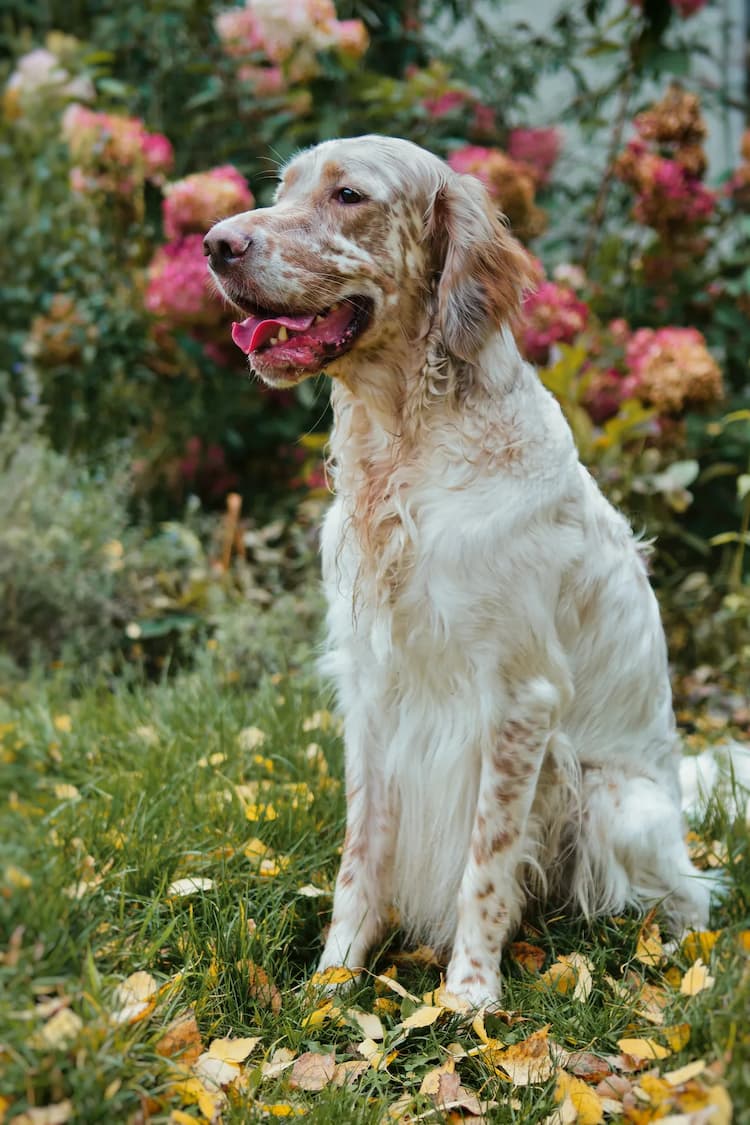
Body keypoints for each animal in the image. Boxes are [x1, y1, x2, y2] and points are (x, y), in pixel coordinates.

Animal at [203, 136, 710, 1008]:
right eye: (286, 188)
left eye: (348, 195)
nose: (214, 244)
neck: (404, 451)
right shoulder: (373, 693)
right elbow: (360, 855)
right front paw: (334, 977)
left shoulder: (516, 700)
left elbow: (486, 860)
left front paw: (469, 995)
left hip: (616, 800)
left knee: (684, 896)